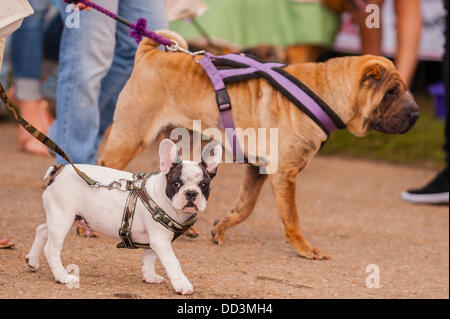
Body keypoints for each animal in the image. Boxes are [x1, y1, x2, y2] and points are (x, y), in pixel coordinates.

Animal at [97, 30, 418, 260]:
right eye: (391, 92)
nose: (415, 114)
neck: (325, 91)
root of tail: (150, 54)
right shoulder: (284, 174)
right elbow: (292, 217)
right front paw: (305, 249)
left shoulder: (258, 169)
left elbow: (245, 207)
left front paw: (221, 228)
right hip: (132, 135)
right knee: (104, 167)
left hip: (179, 141)